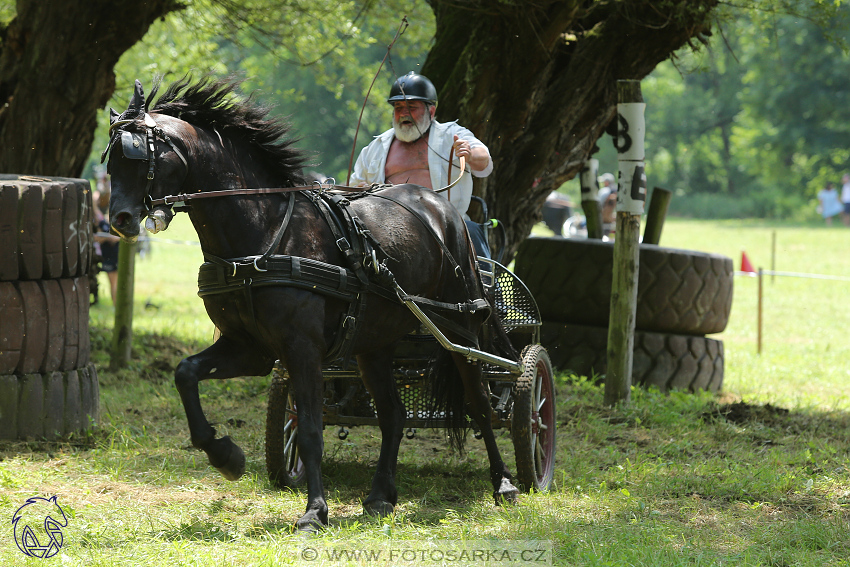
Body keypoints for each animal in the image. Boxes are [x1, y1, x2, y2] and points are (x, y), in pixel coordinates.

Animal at [103, 76, 520, 532]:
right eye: (109, 162)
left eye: (137, 156)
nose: (119, 220)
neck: (263, 234)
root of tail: (440, 206)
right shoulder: (249, 348)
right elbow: (186, 373)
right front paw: (225, 455)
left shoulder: (302, 349)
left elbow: (309, 430)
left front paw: (315, 510)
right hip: (374, 344)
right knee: (393, 414)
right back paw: (380, 495)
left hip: (461, 327)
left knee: (479, 402)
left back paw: (504, 484)